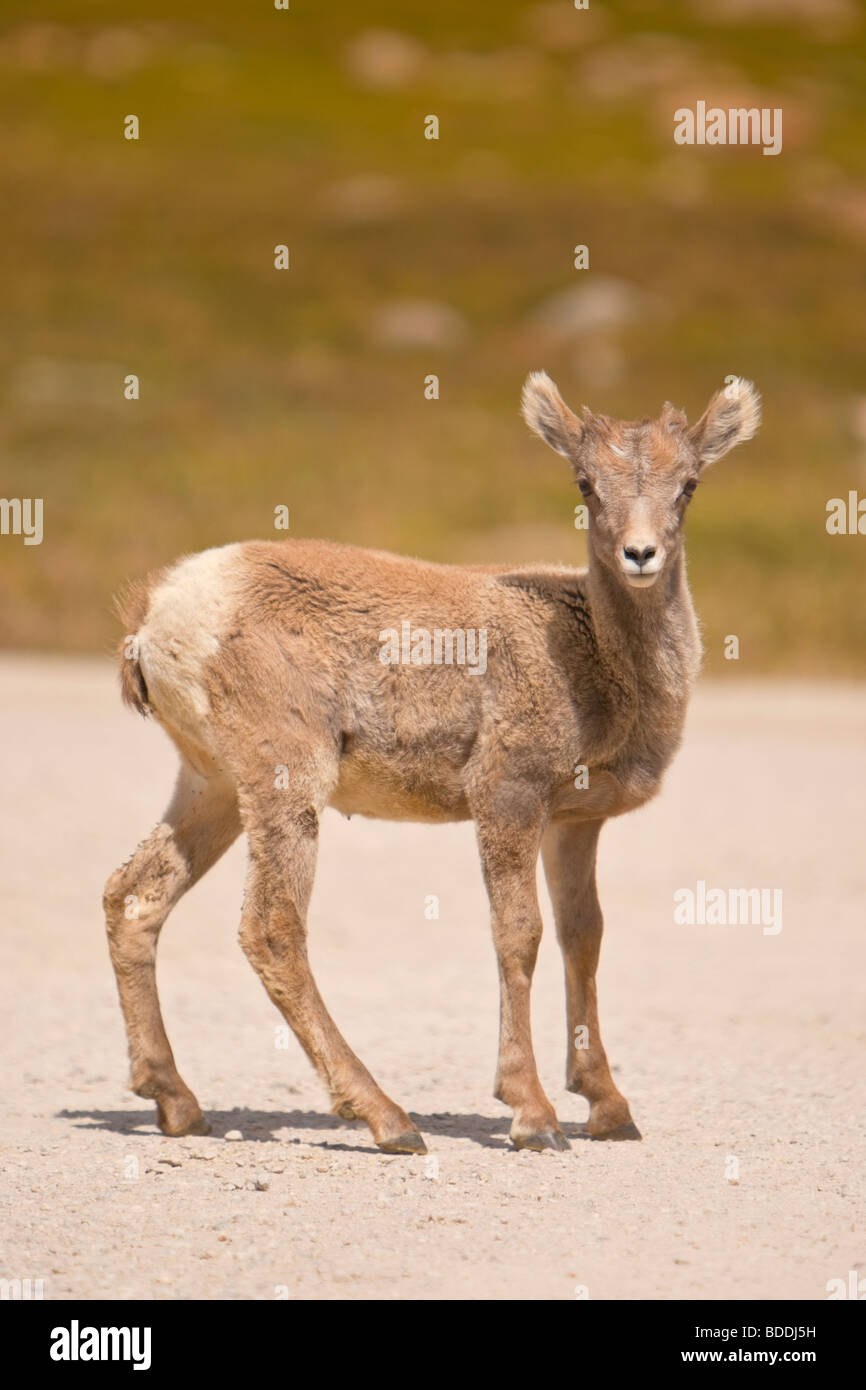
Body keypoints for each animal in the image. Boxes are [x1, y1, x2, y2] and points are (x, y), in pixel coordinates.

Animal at [104, 369, 761, 1150]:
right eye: (584, 482)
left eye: (689, 483)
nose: (639, 555)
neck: (594, 657)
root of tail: (158, 617)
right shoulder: (507, 795)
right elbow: (520, 934)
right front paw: (534, 1116)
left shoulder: (574, 822)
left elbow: (584, 937)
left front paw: (610, 1109)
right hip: (287, 781)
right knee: (270, 928)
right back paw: (388, 1119)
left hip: (211, 787)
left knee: (134, 897)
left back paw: (177, 1103)